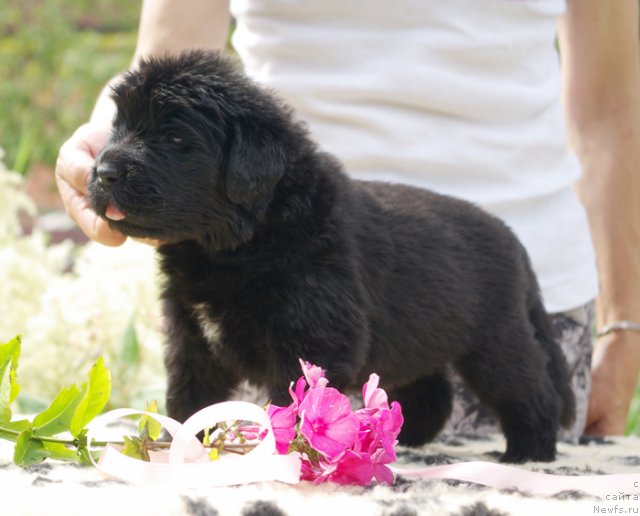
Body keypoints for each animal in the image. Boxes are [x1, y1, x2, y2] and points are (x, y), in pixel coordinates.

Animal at [89, 49, 576, 464]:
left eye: (174, 135)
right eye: (118, 127)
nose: (103, 172)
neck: (235, 243)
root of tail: (513, 239)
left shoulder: (314, 336)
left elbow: (291, 404)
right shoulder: (192, 337)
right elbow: (190, 397)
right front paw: (178, 444)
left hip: (496, 339)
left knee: (528, 386)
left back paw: (530, 450)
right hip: (421, 333)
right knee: (431, 388)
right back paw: (404, 438)